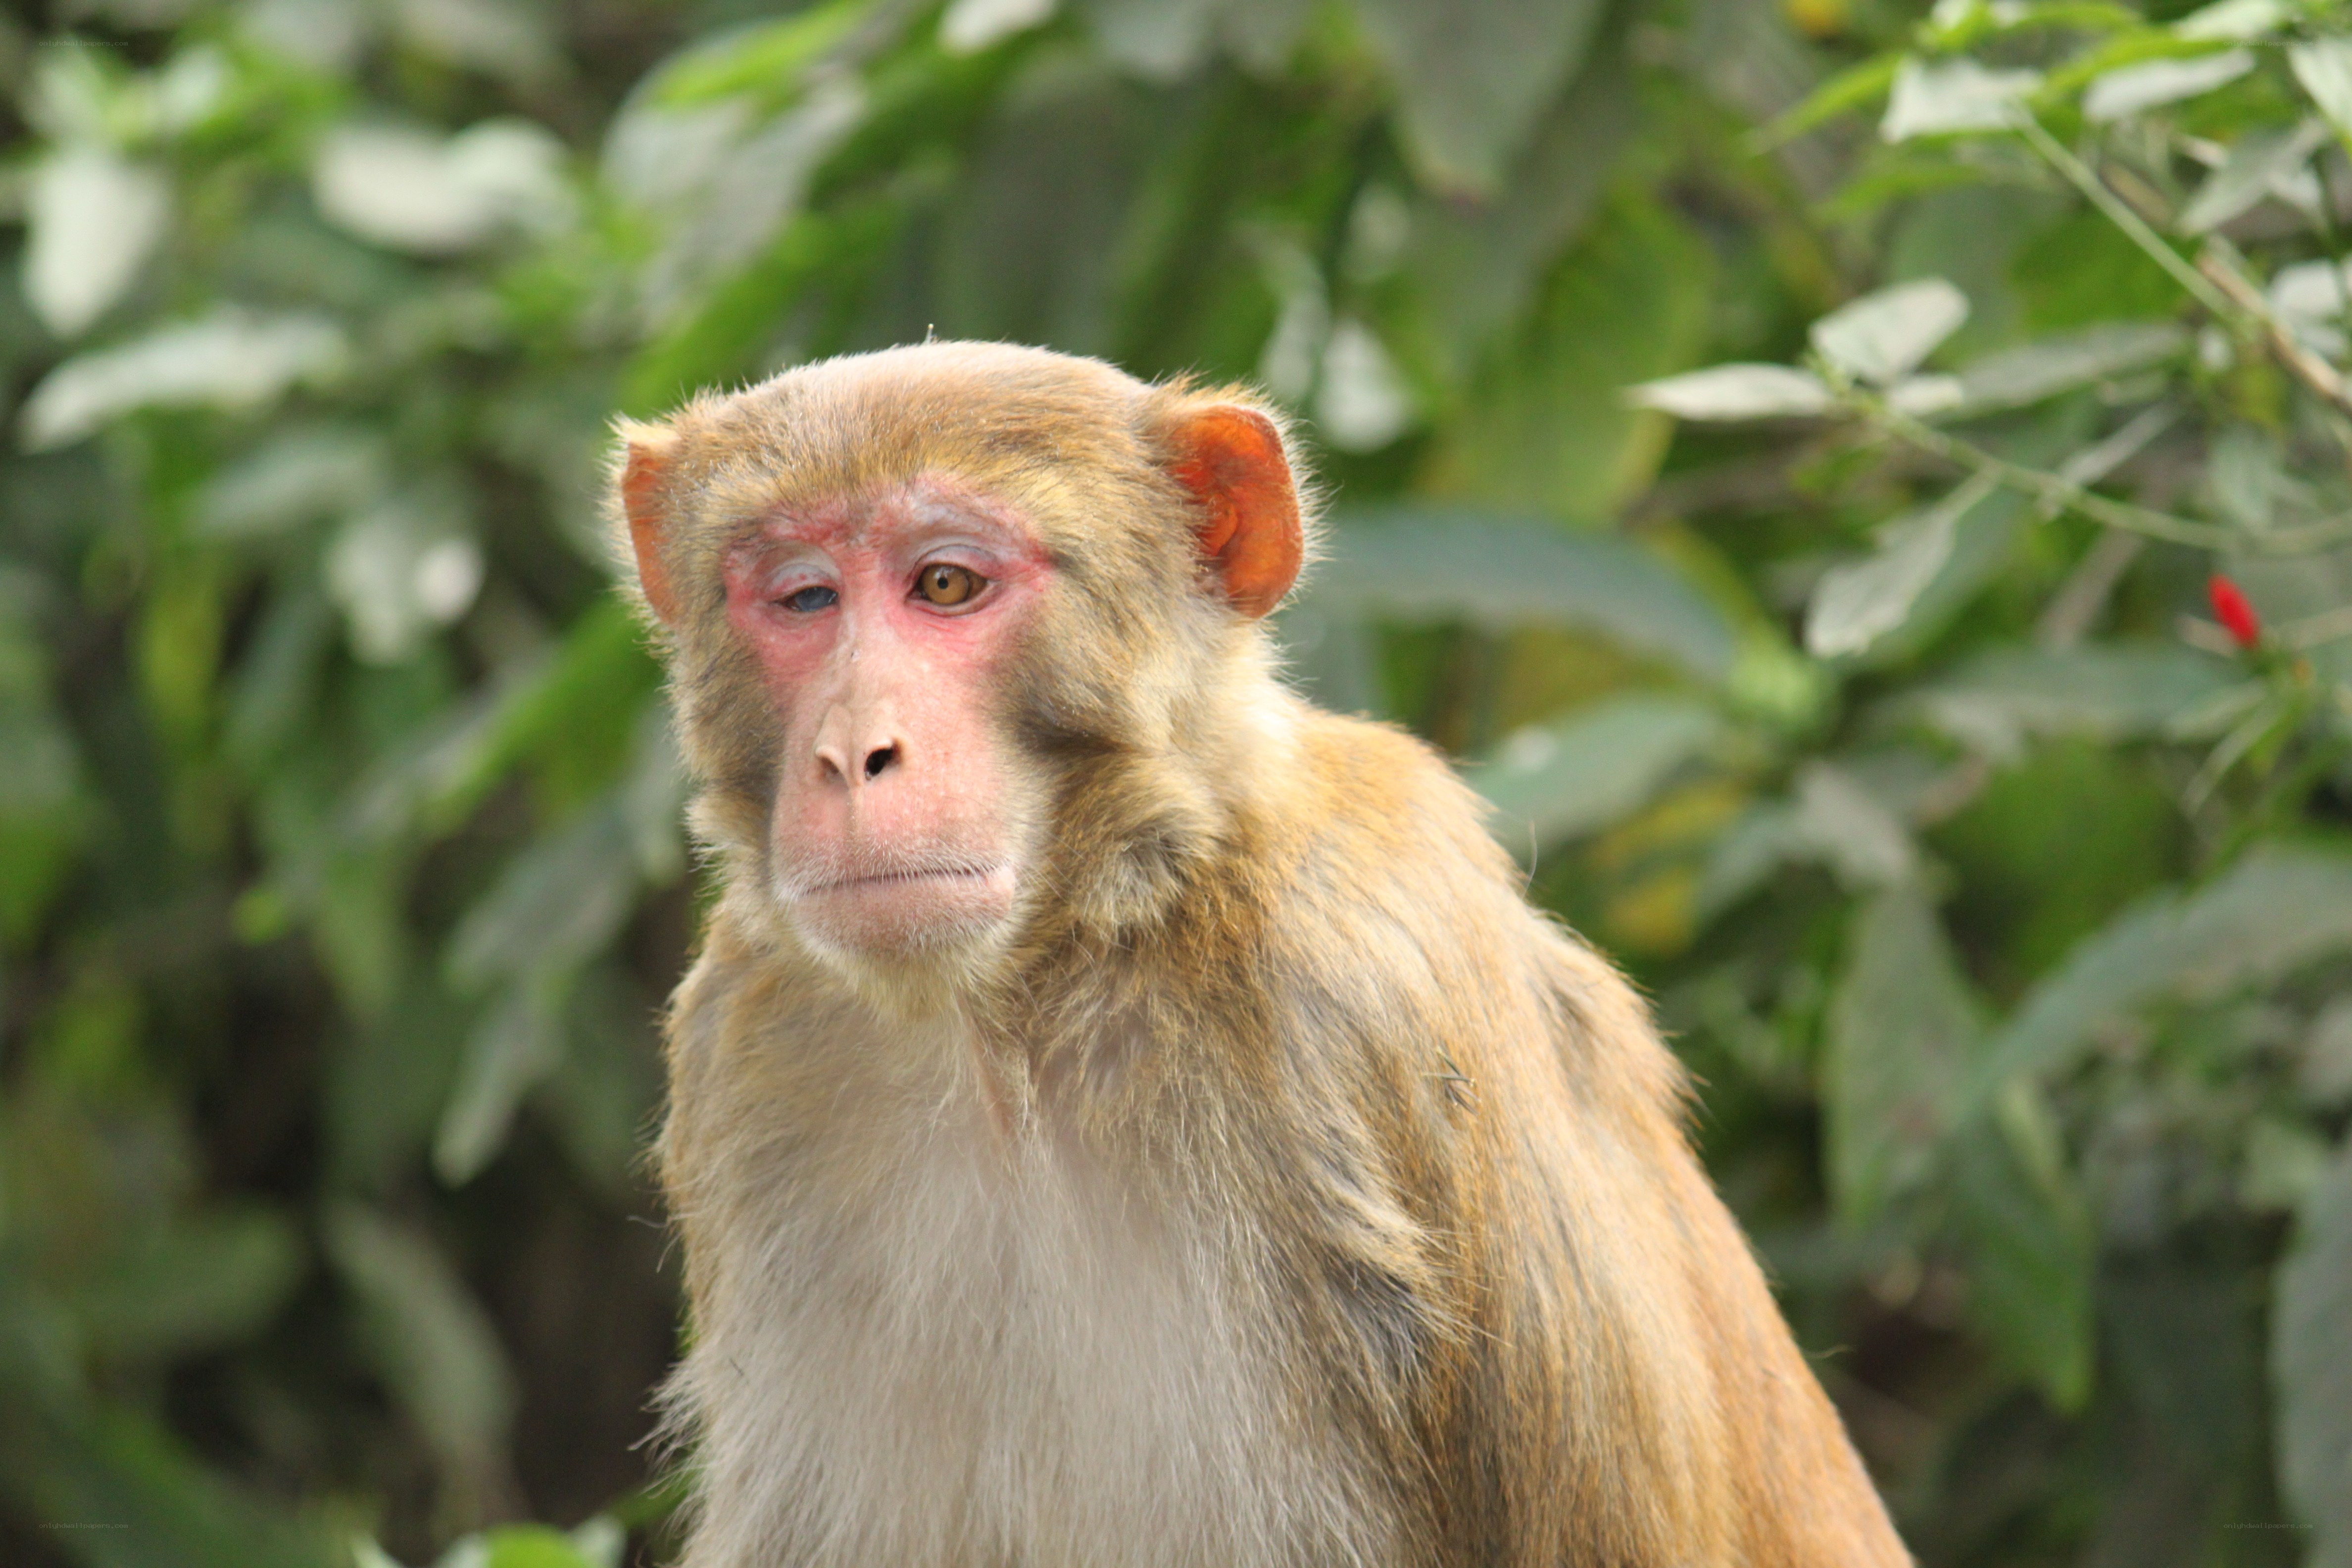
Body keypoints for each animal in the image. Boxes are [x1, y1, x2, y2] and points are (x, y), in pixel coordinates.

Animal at [613, 341, 1910, 1568]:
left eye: (945, 584)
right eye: (804, 597)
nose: (849, 754)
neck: (1037, 991)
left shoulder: (1363, 981)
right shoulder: (747, 1038)